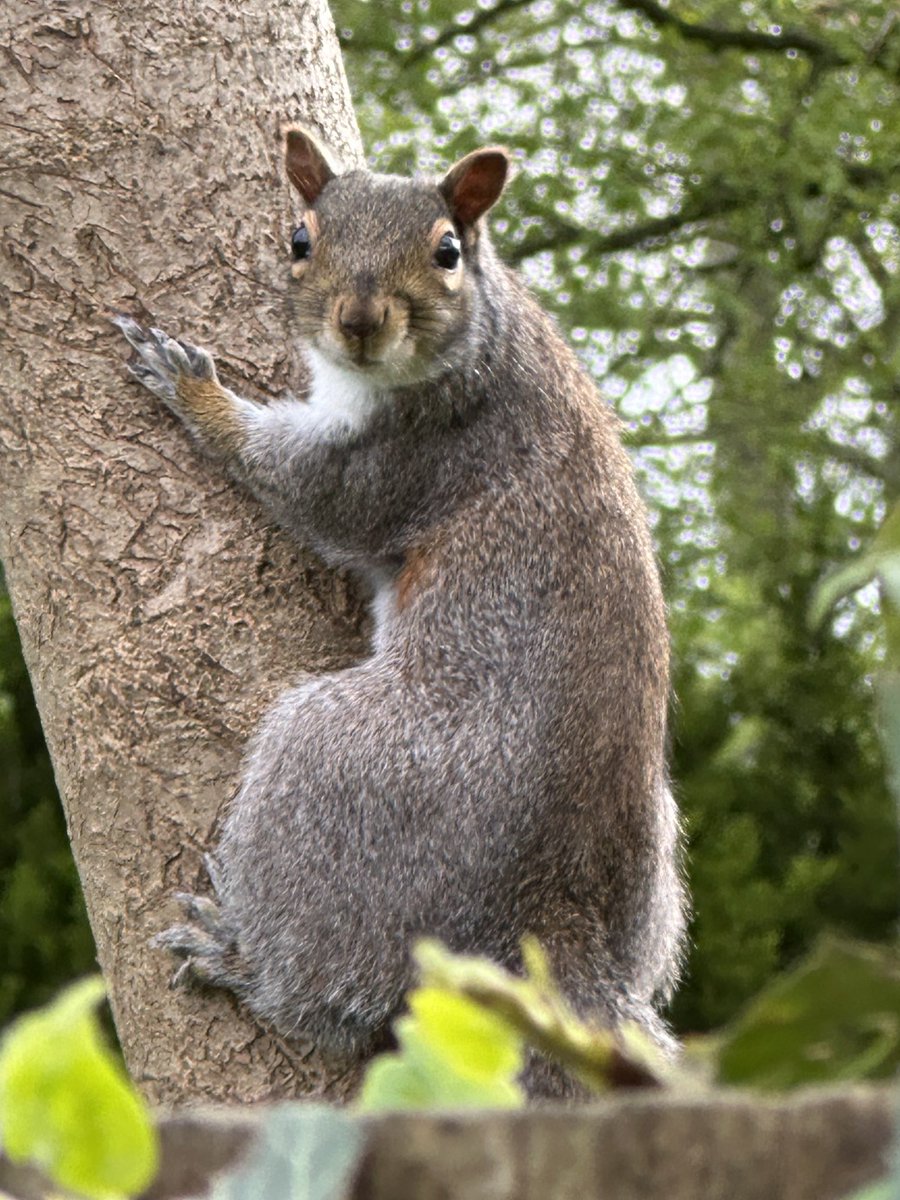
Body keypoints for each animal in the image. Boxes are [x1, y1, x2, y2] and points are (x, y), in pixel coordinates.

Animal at [116, 124, 686, 1099]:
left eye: (448, 251)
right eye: (300, 239)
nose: (359, 319)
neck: (489, 341)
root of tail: (550, 910)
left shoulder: (407, 458)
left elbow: (301, 489)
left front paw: (195, 394)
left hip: (342, 771)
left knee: (322, 985)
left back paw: (242, 958)